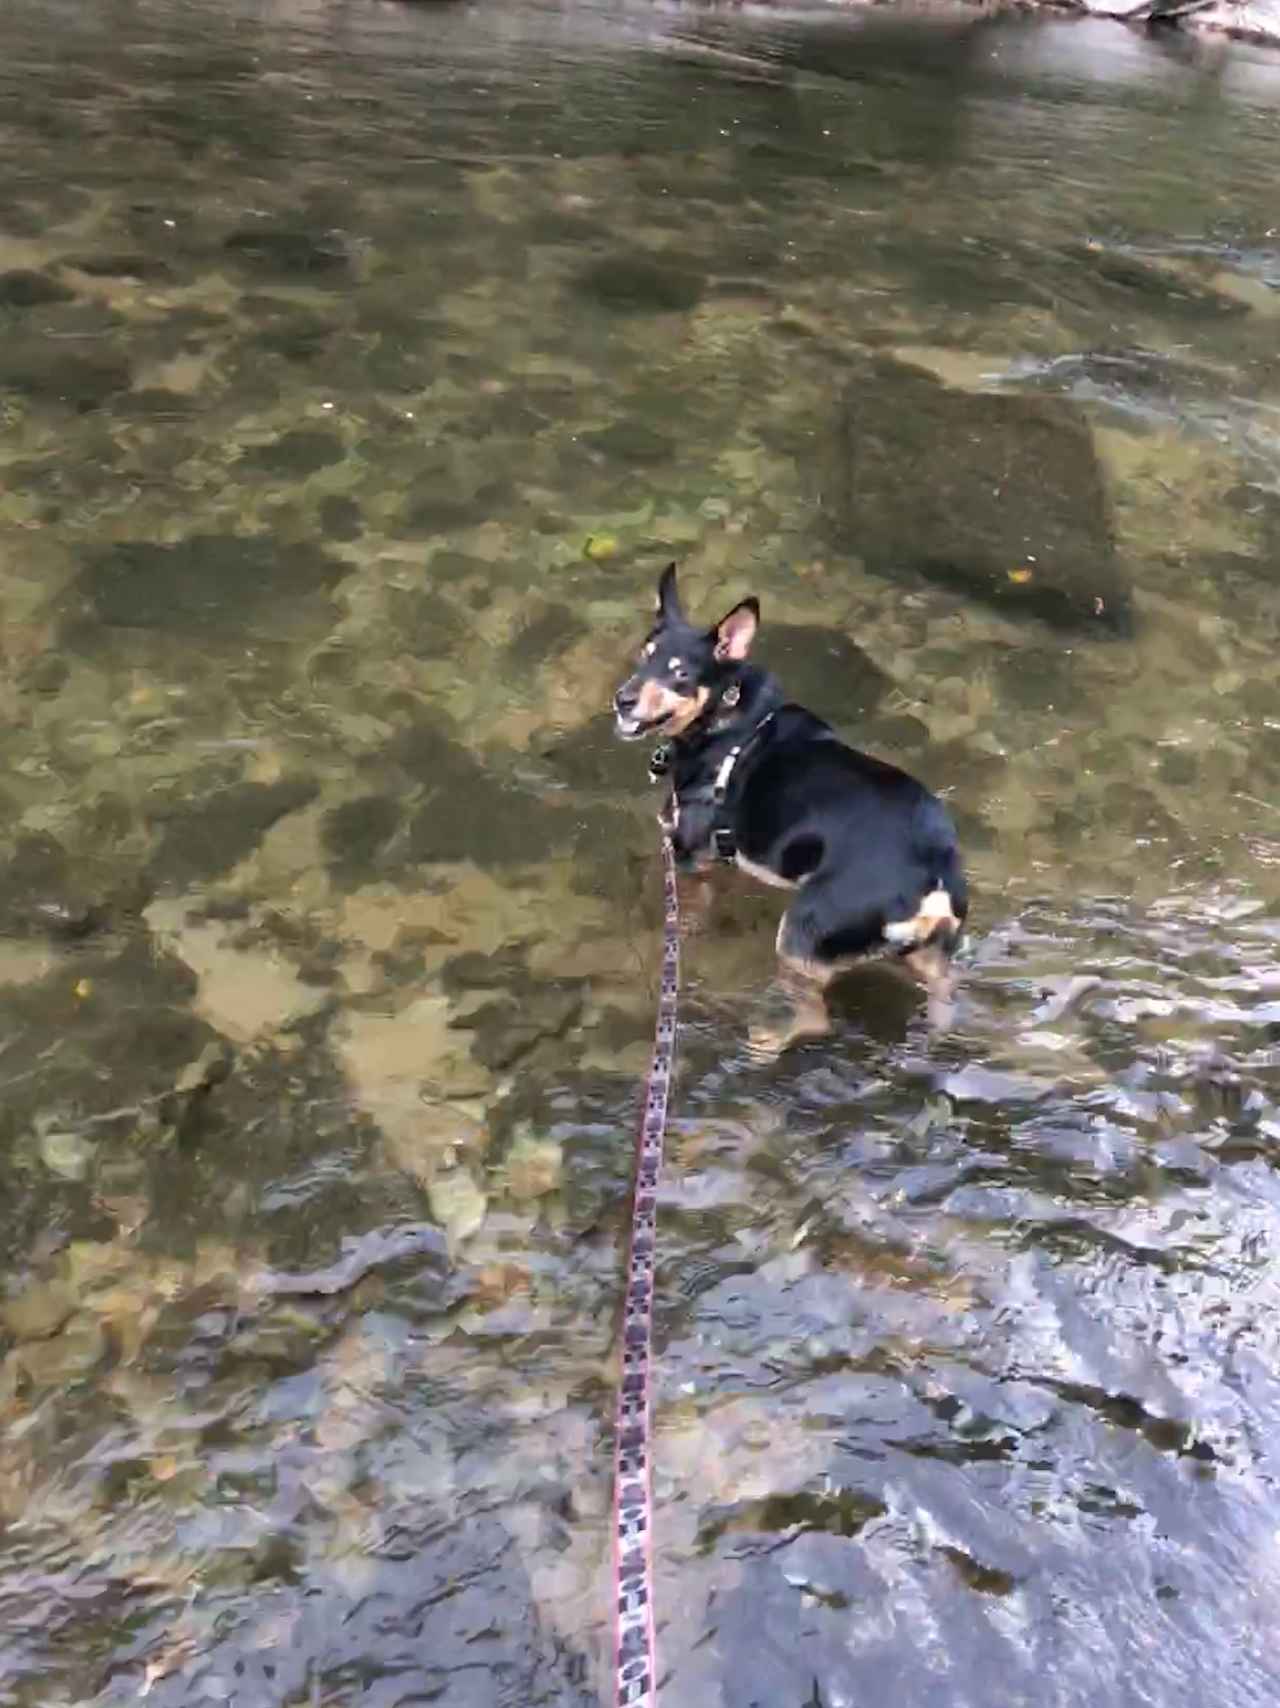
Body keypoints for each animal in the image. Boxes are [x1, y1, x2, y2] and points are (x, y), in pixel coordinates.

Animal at [615, 567, 963, 1045]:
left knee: (814, 1018)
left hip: (802, 935)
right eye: (643, 655)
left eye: (681, 673)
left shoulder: (687, 860)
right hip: (929, 959)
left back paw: (764, 1039)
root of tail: (933, 878)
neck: (725, 721)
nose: (622, 700)